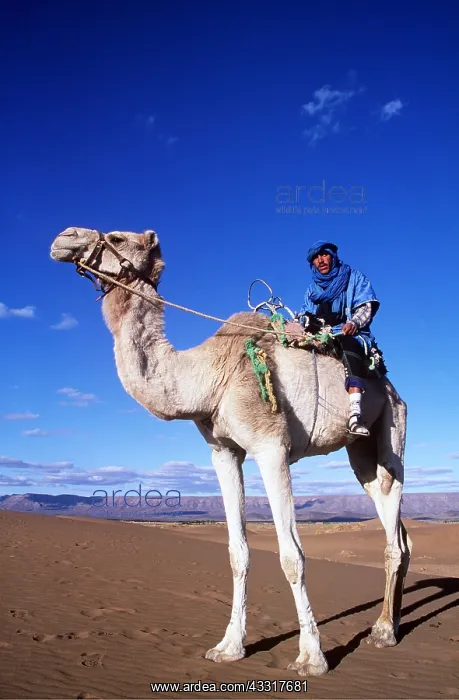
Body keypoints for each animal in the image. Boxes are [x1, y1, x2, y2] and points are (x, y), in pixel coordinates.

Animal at [50, 227, 412, 677]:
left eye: (117, 237)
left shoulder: (271, 446)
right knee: (394, 523)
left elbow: (292, 556)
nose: (64, 238)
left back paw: (384, 632)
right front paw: (228, 647)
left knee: (392, 515)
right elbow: (238, 553)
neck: (209, 376)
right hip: (359, 455)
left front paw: (311, 658)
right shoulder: (223, 451)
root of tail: (393, 389)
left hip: (391, 428)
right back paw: (391, 621)